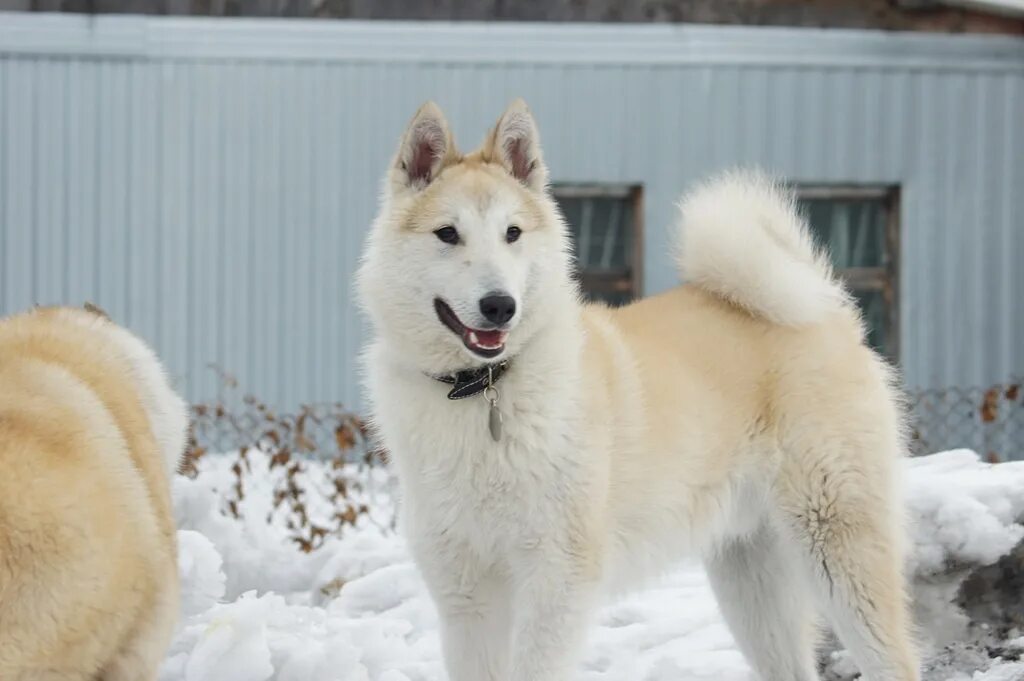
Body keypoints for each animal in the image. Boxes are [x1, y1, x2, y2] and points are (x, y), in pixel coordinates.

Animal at [360, 99, 921, 679]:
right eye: (447, 234)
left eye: (512, 233)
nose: (500, 306)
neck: (484, 391)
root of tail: (827, 307)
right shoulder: (466, 597)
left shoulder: (557, 578)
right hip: (752, 580)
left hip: (837, 545)